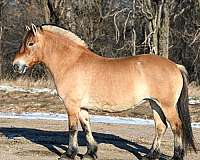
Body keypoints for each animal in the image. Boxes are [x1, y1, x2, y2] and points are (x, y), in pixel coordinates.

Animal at [12, 24, 197, 160]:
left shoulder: (71, 105)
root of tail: (175, 66)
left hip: (167, 105)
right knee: (160, 127)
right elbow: (86, 127)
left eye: (30, 44)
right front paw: (90, 153)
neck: (71, 62)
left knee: (176, 126)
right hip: (155, 104)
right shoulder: (82, 107)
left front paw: (69, 154)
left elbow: (73, 129)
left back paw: (176, 156)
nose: (16, 65)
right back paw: (150, 155)